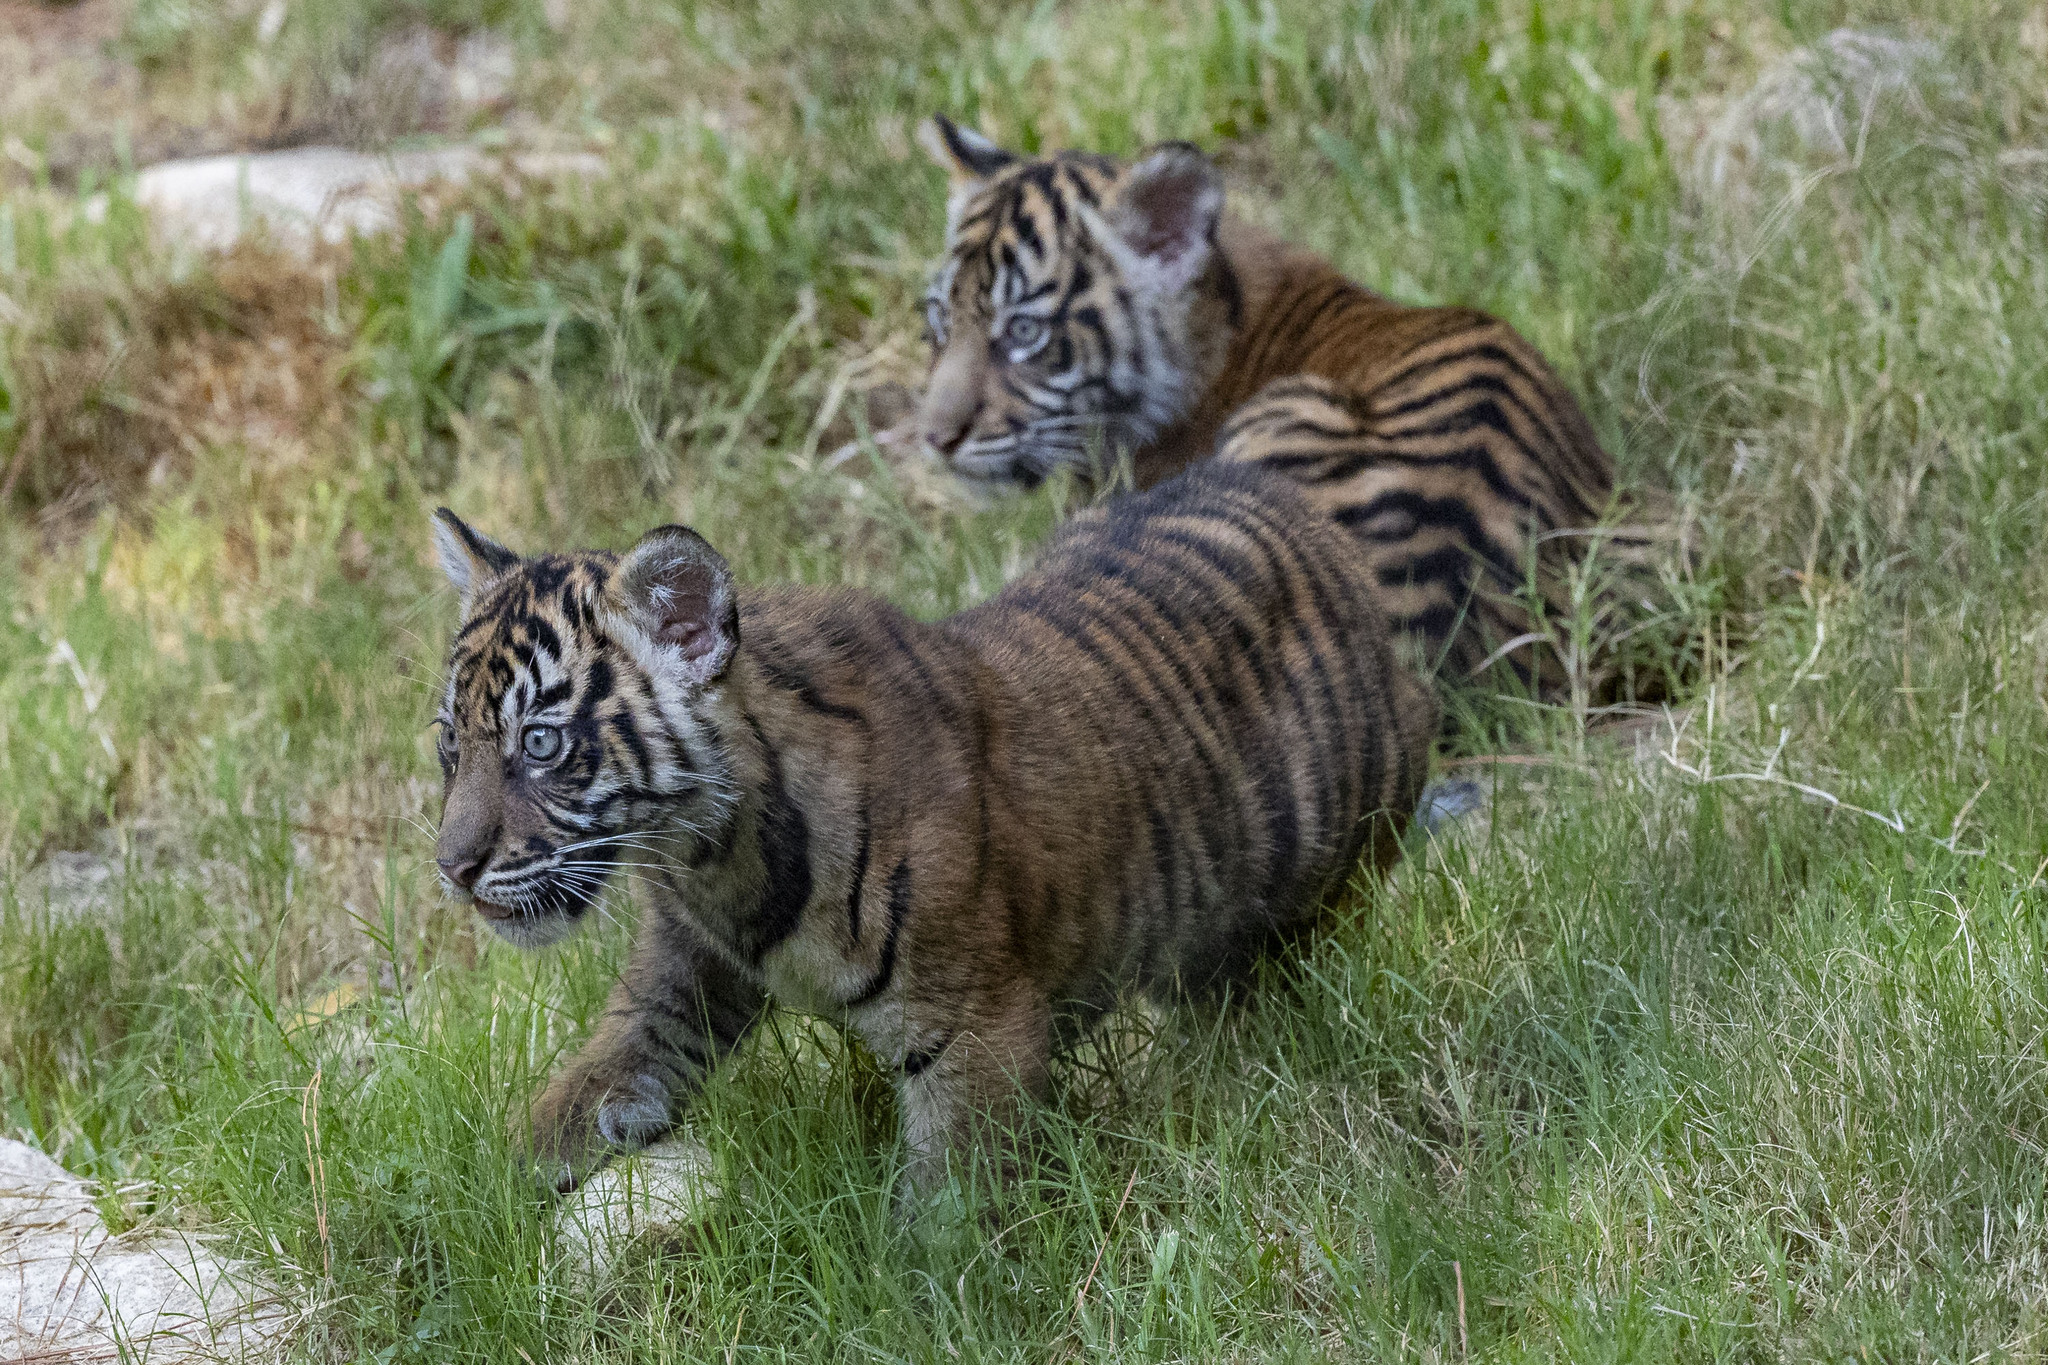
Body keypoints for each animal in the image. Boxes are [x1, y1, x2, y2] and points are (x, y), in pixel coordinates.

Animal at [428, 463, 1435, 1195]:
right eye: (449, 743)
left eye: (542, 742)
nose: (451, 868)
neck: (711, 857)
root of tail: (1300, 510)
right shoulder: (677, 983)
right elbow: (587, 1086)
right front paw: (481, 1206)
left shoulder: (975, 1024)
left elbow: (951, 1210)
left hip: (1325, 870)